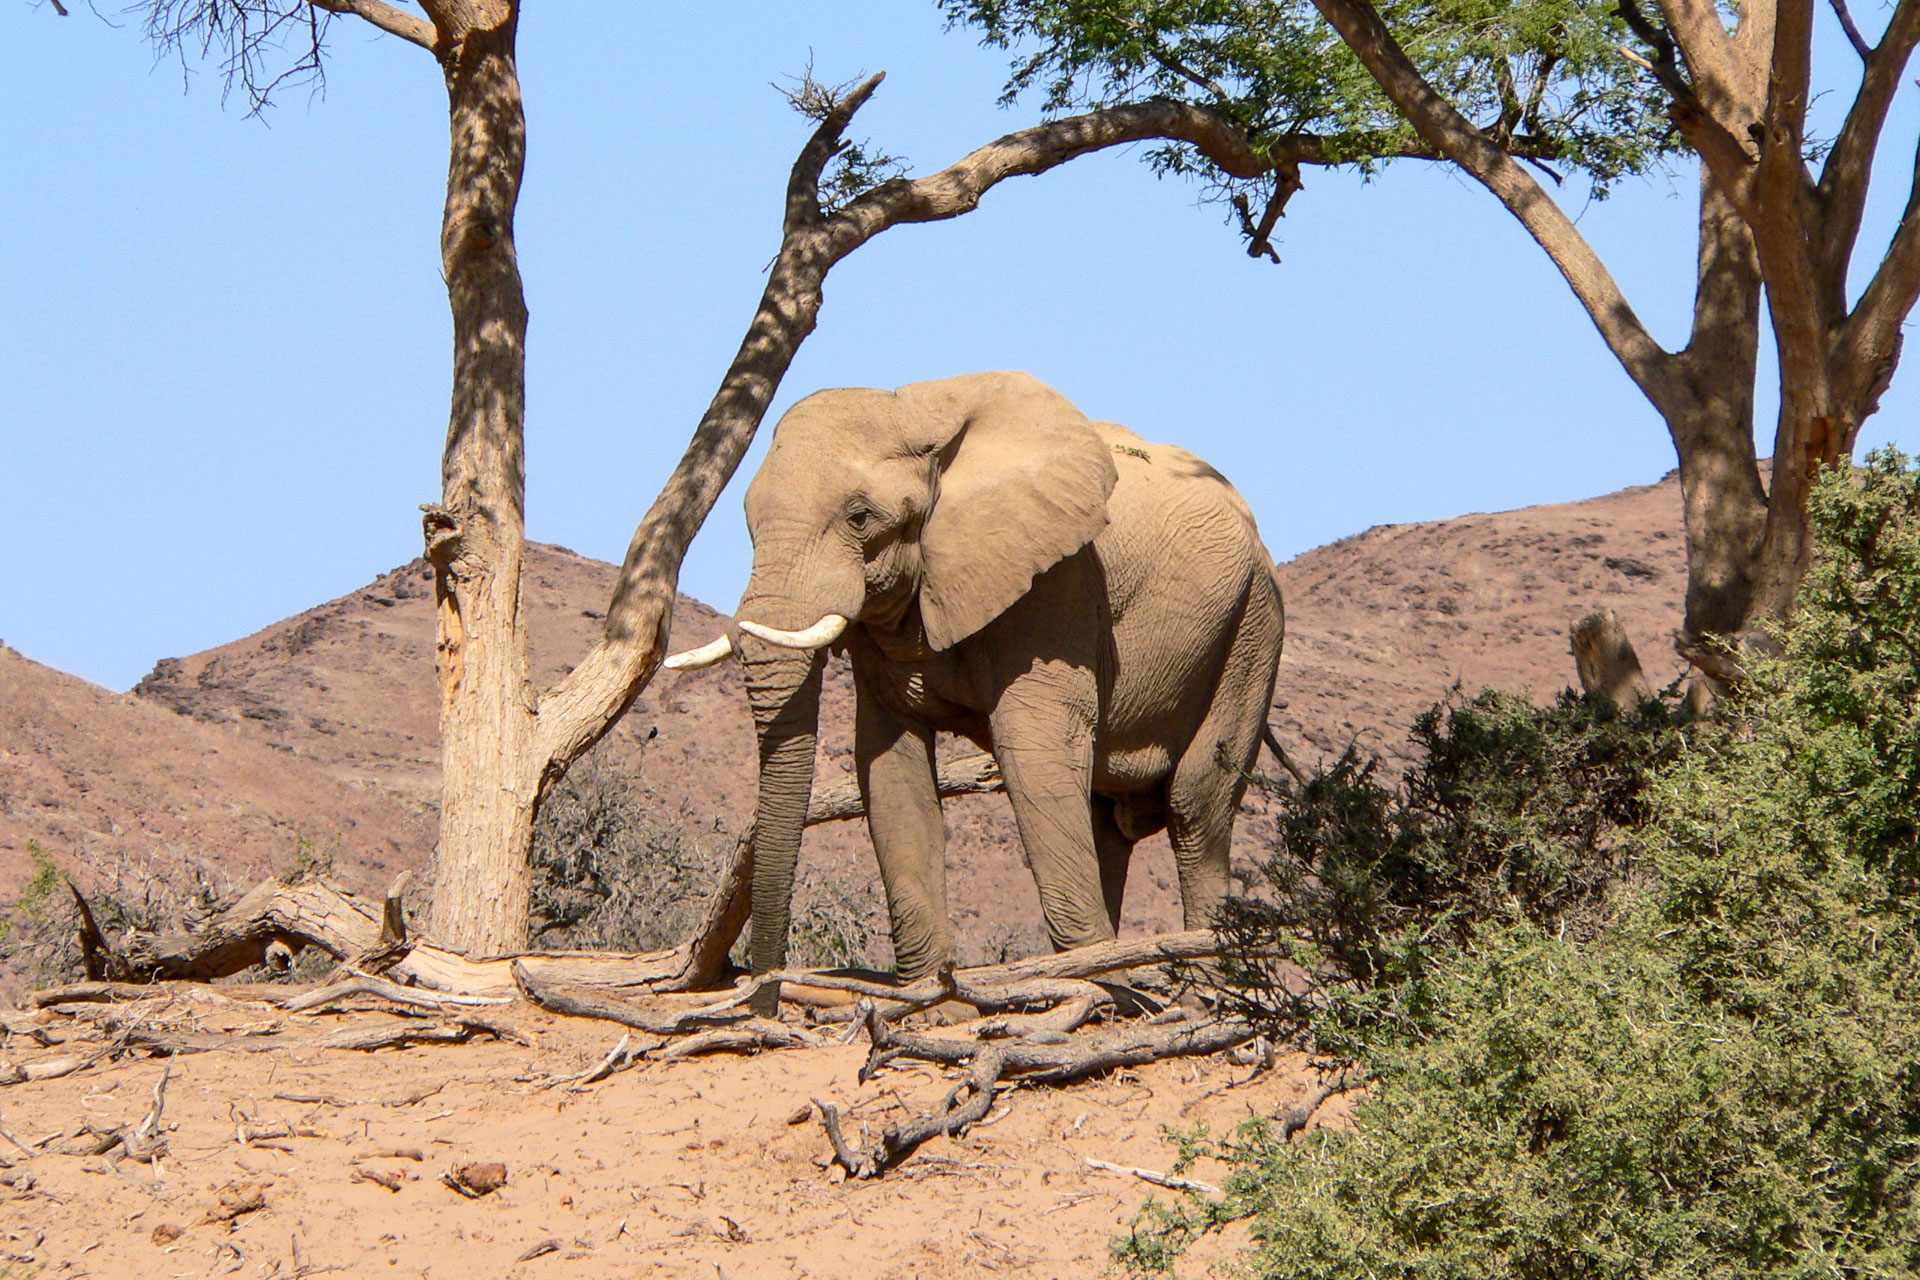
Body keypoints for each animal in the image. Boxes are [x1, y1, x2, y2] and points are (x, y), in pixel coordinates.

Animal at [666, 371, 1284, 992]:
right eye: (748, 520)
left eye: (860, 517)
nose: (762, 987)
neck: (918, 417)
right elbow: (890, 764)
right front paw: (935, 995)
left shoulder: (1056, 582)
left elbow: (1035, 751)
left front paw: (1088, 991)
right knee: (1104, 816)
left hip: (1253, 626)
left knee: (1195, 802)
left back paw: (1198, 991)